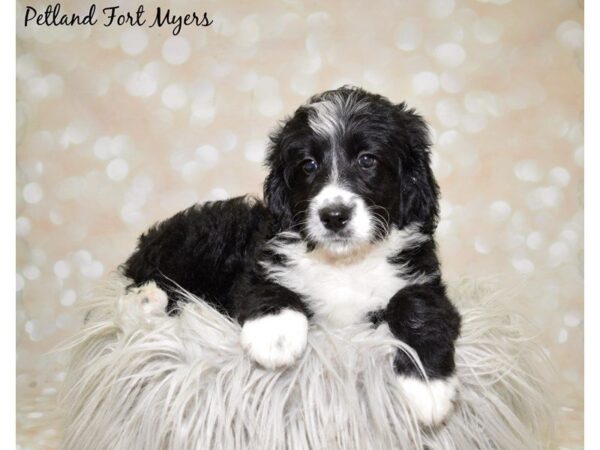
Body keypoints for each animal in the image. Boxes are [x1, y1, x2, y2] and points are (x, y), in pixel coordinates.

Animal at [120, 85, 460, 426]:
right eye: (308, 165)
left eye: (367, 160)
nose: (334, 216)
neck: (343, 263)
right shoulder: (260, 259)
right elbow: (268, 286)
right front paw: (276, 335)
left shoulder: (423, 280)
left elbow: (416, 308)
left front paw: (426, 388)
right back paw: (145, 299)